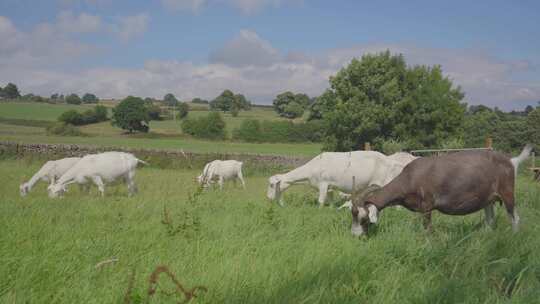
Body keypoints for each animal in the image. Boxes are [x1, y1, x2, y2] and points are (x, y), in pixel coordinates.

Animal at [268, 151, 416, 208]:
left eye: (271, 185)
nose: (268, 198)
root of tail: (390, 160)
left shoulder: (323, 184)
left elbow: (320, 201)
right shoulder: (330, 187)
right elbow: (330, 200)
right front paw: (331, 209)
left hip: (387, 182)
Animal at [350, 144, 532, 236]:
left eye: (363, 218)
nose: (355, 235)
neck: (409, 178)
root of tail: (512, 161)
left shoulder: (426, 206)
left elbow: (427, 228)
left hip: (507, 193)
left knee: (515, 218)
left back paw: (514, 237)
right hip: (488, 199)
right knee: (490, 220)